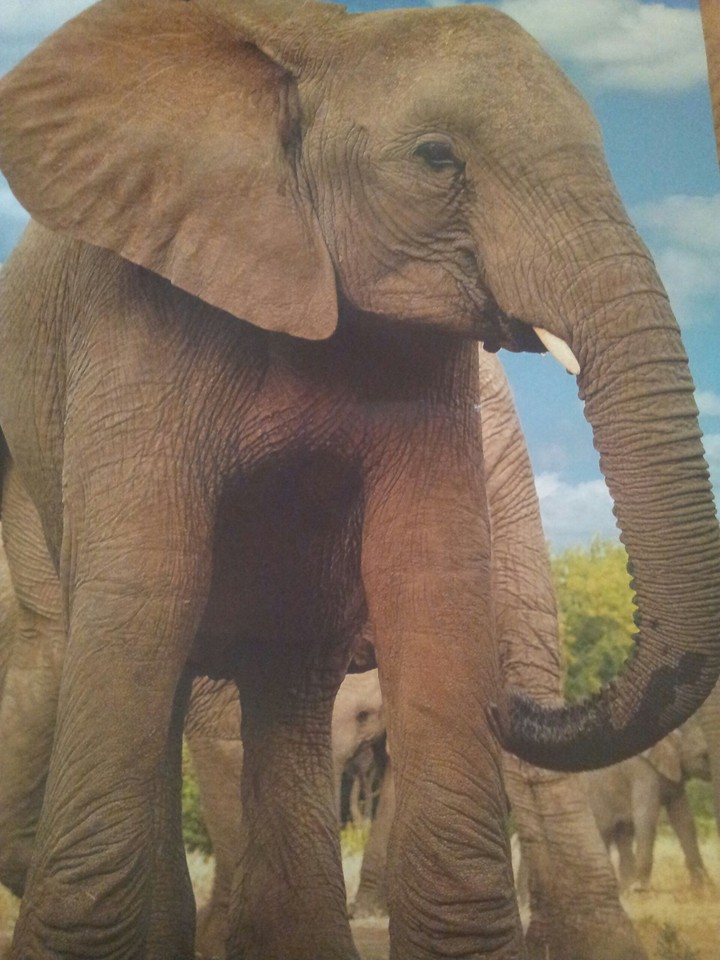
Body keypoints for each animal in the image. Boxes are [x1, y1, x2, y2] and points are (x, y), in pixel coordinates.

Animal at [586, 720, 712, 892]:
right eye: (703, 755)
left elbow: (683, 819)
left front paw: (701, 888)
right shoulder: (642, 771)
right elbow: (646, 817)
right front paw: (642, 890)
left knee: (622, 836)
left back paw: (625, 891)